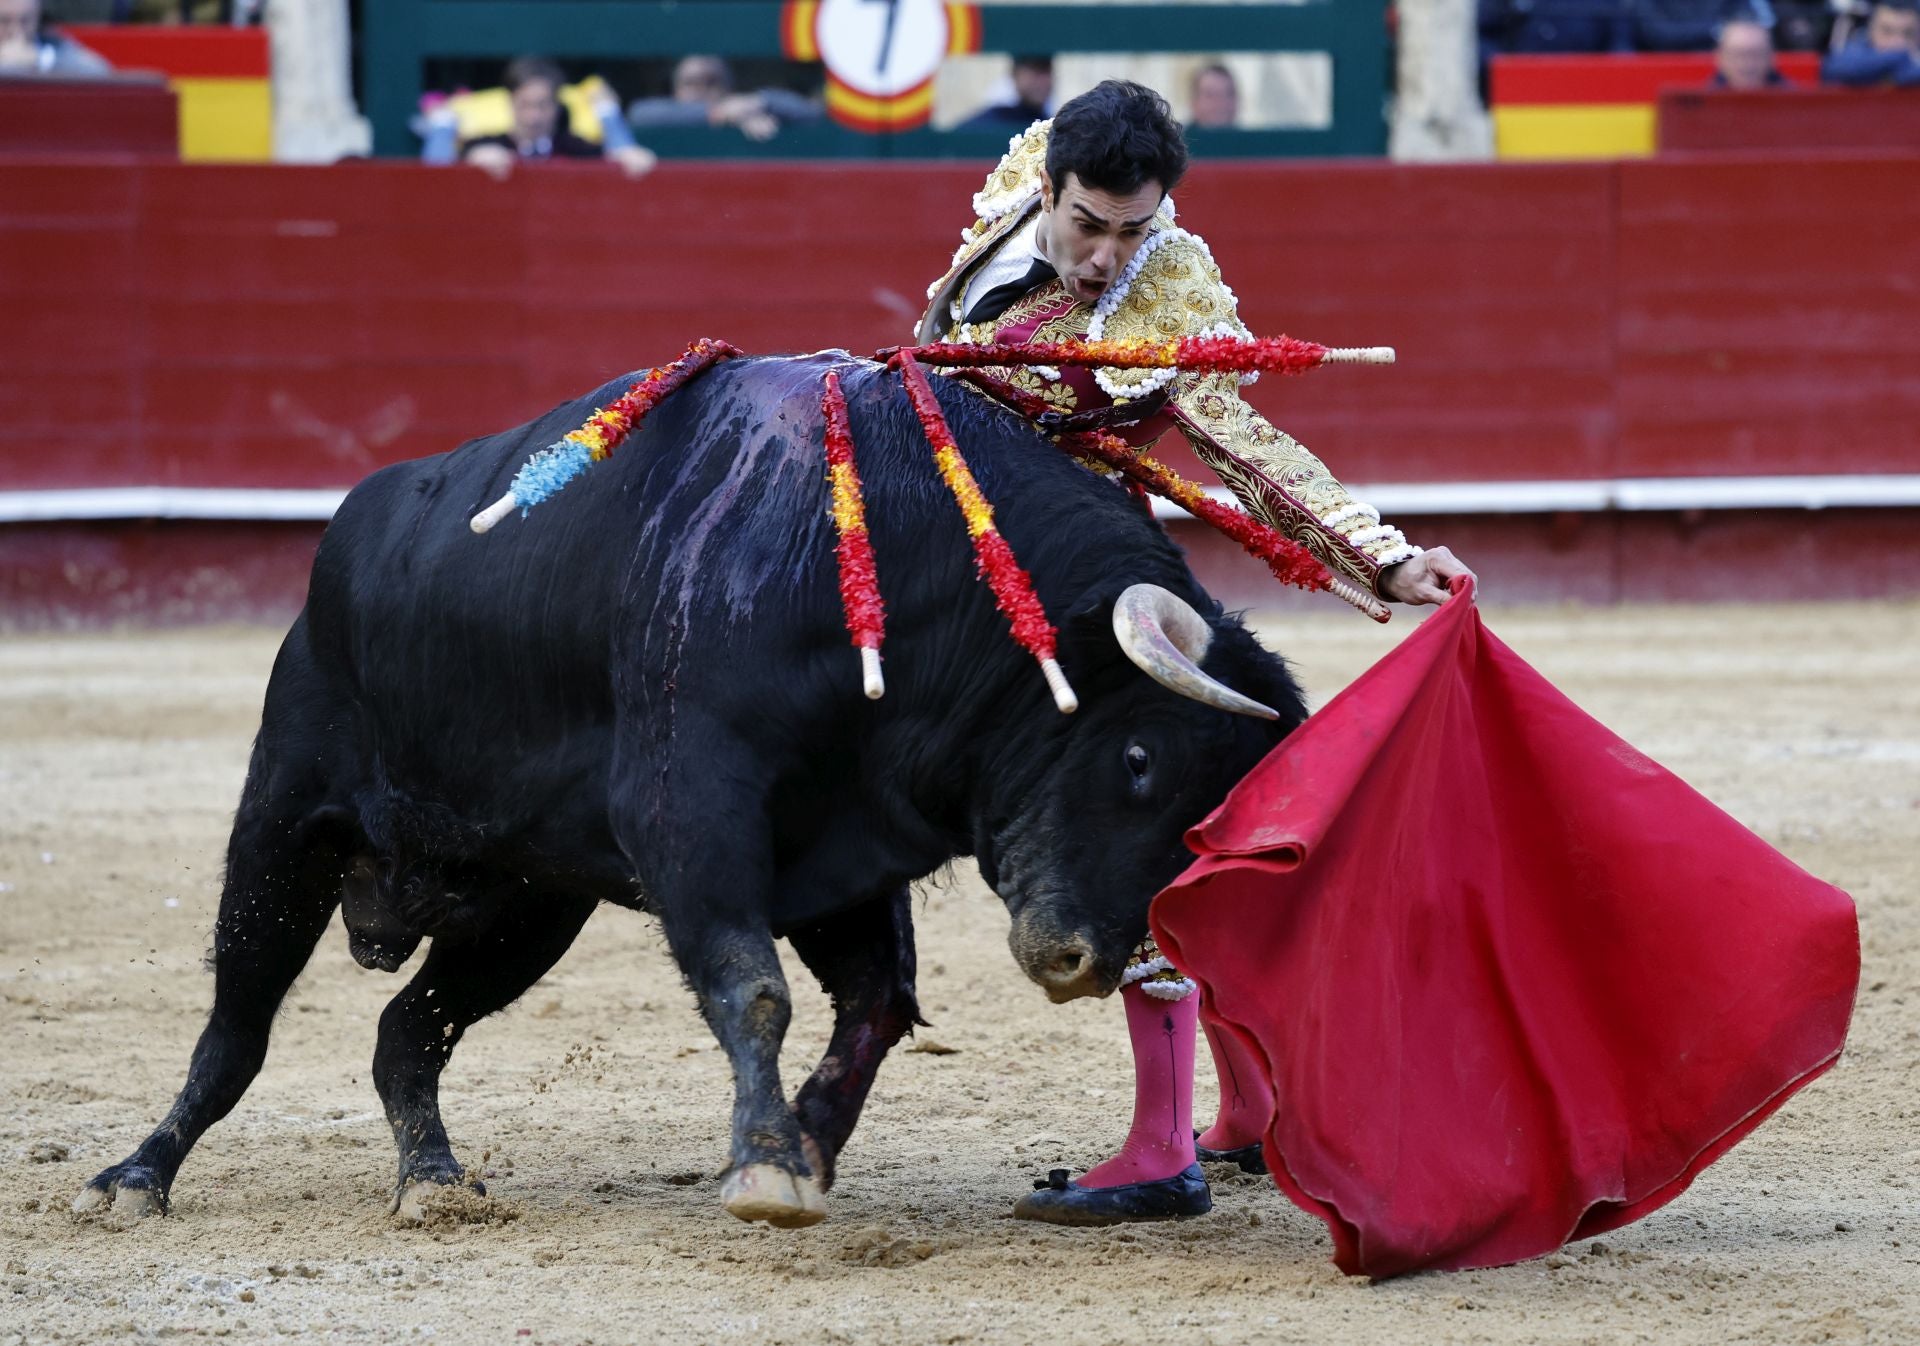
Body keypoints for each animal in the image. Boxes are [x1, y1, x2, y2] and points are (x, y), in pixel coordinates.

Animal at [74, 351, 1305, 1221]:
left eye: (1204, 825)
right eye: (1139, 760)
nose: (1077, 960)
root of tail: (357, 528)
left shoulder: (843, 851)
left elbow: (875, 1004)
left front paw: (803, 1145)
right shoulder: (695, 812)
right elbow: (753, 986)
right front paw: (766, 1164)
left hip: (528, 904)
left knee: (404, 1029)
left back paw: (432, 1181)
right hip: (286, 822)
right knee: (238, 1023)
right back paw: (136, 1176)